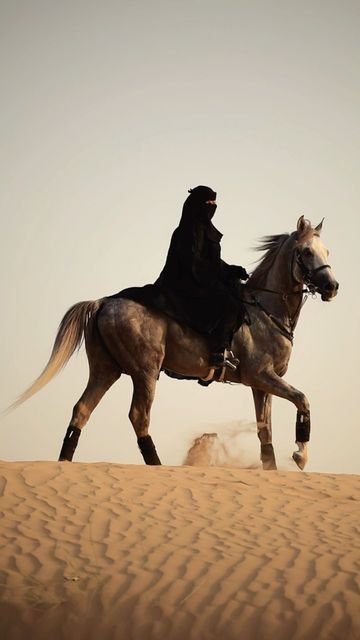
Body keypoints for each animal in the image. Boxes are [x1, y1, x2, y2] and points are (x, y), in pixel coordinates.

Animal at [10, 215, 338, 470]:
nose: (332, 287)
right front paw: (300, 456)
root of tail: (103, 302)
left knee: (82, 410)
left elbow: (265, 429)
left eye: (327, 251)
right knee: (138, 416)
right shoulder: (261, 376)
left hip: (106, 370)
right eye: (306, 252)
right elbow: (302, 400)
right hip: (145, 372)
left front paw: (272, 468)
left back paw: (64, 463)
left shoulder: (262, 384)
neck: (265, 311)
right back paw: (156, 465)